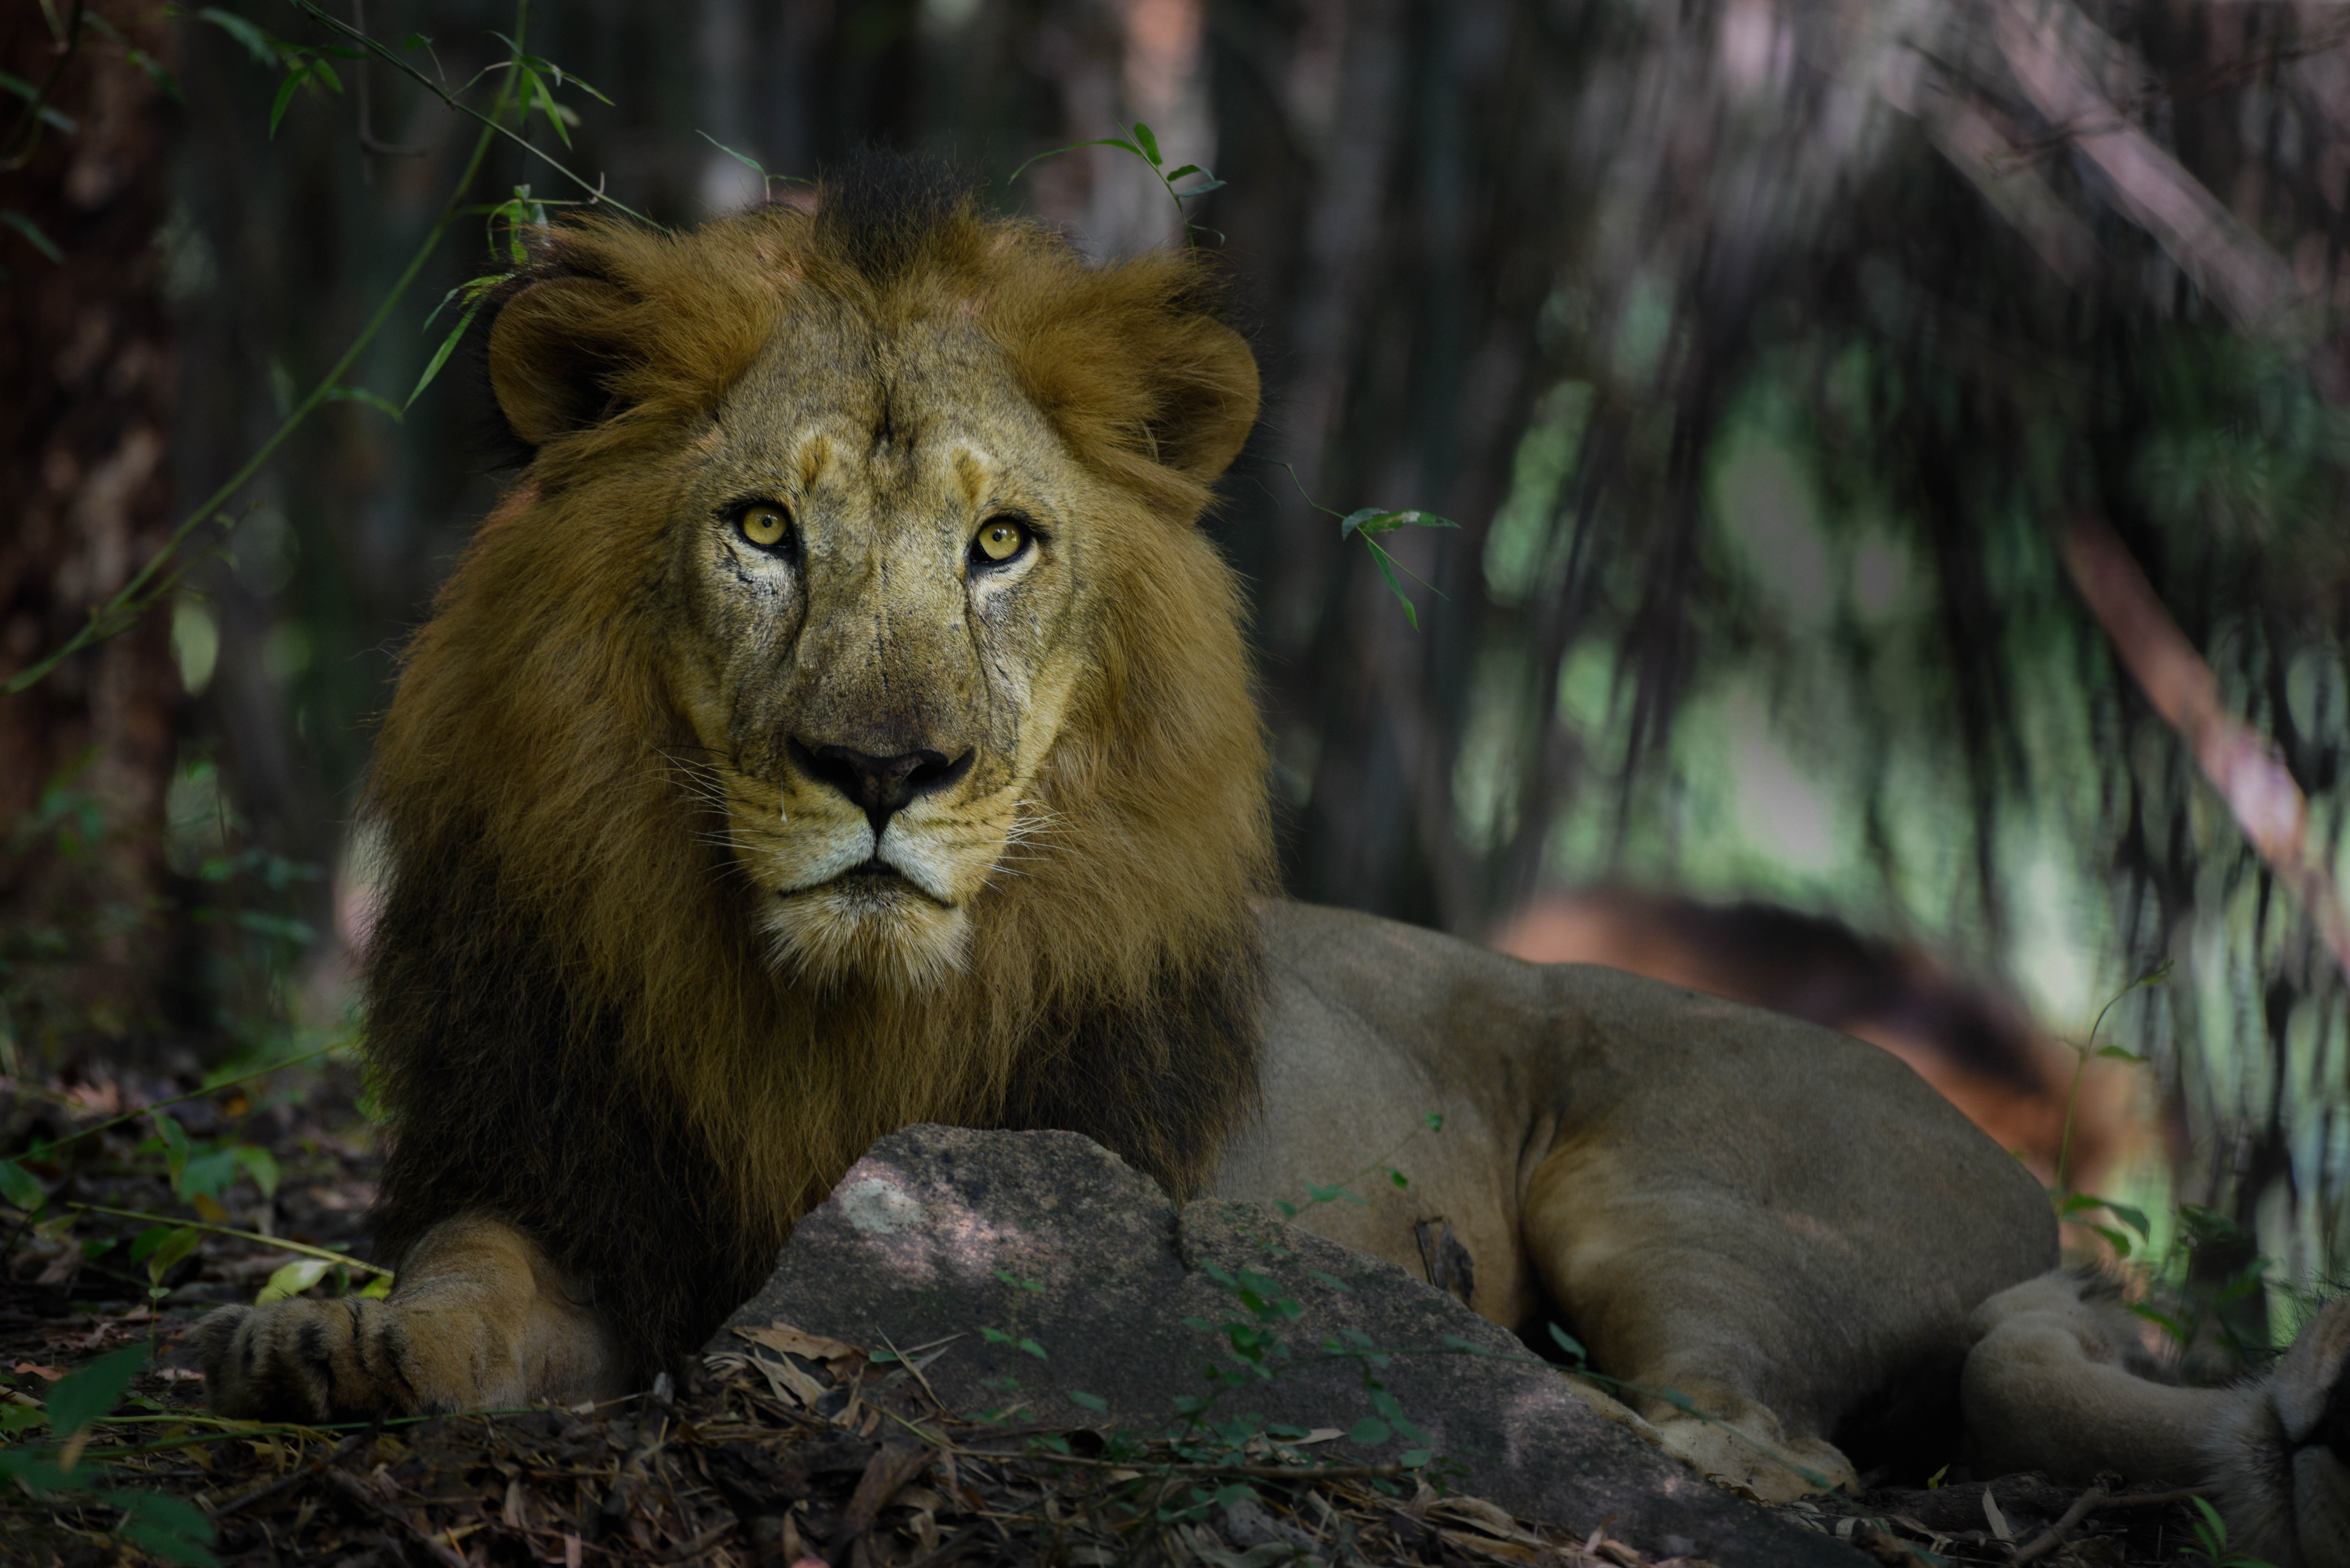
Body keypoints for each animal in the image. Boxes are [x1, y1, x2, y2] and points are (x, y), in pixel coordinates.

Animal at [193, 162, 2340, 1568]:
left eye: (1000, 545)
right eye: (759, 530)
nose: (885, 769)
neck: (803, 1010)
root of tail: (2024, 1195)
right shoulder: (560, 1172)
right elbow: (464, 1278)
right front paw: (333, 1337)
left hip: (1664, 1183)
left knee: (1728, 1446)